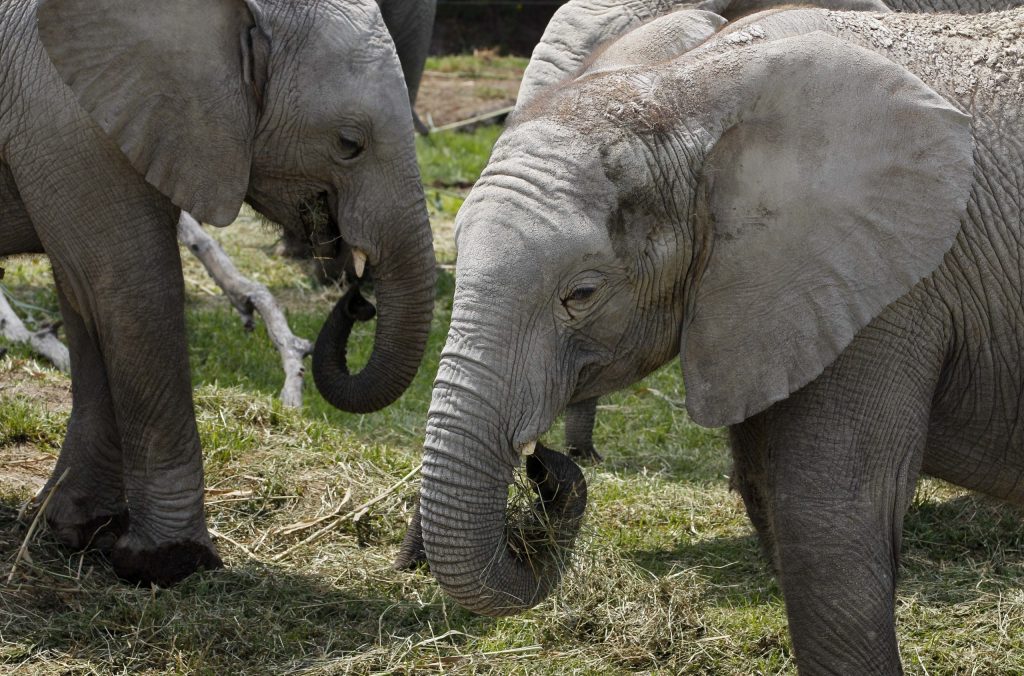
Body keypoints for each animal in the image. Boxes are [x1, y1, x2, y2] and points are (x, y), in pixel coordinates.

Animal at [0, 0, 436, 586]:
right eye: (350, 144)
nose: (359, 296)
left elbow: (85, 297)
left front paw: (80, 529)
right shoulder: (66, 118)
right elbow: (130, 284)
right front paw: (170, 561)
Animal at [414, 5, 1024, 673]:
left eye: (582, 293)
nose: (544, 464)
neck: (687, 91)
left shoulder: (887, 288)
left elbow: (827, 520)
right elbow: (767, 495)